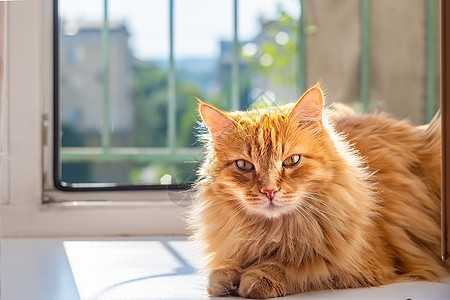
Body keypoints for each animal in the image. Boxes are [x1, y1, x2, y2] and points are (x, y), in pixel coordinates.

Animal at [188, 84, 448, 298]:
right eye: (244, 165)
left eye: (291, 161)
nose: (269, 191)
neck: (272, 232)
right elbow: (225, 269)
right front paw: (225, 277)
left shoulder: (359, 264)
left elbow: (298, 268)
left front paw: (257, 278)